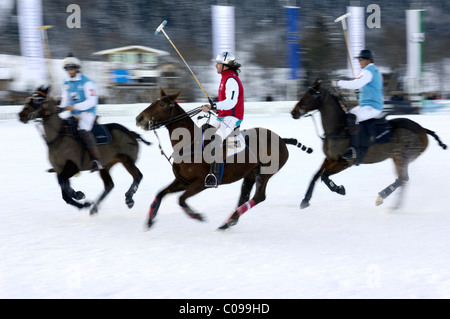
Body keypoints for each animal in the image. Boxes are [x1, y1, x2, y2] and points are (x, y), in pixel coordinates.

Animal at [18, 87, 151, 215]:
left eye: (37, 100)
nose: (20, 115)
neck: (57, 138)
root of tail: (132, 133)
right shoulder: (59, 170)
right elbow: (64, 193)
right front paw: (83, 203)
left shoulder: (72, 166)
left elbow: (63, 183)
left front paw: (78, 194)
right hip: (106, 166)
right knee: (109, 185)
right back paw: (94, 208)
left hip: (126, 159)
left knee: (138, 175)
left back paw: (129, 198)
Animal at [136, 89, 312, 230]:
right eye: (154, 101)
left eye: (161, 105)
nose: (139, 118)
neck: (189, 143)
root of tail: (282, 139)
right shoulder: (183, 181)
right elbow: (160, 193)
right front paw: (150, 220)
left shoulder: (201, 183)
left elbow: (181, 200)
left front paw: (197, 216)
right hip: (250, 173)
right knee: (244, 196)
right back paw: (228, 222)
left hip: (265, 172)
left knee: (259, 197)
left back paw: (231, 219)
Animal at [292, 80, 446, 210]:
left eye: (310, 94)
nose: (294, 112)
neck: (338, 129)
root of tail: (423, 129)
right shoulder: (330, 158)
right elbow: (315, 176)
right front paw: (305, 200)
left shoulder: (345, 161)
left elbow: (324, 176)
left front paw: (340, 189)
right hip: (398, 158)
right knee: (403, 179)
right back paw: (393, 204)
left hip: (402, 157)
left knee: (403, 179)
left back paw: (383, 198)